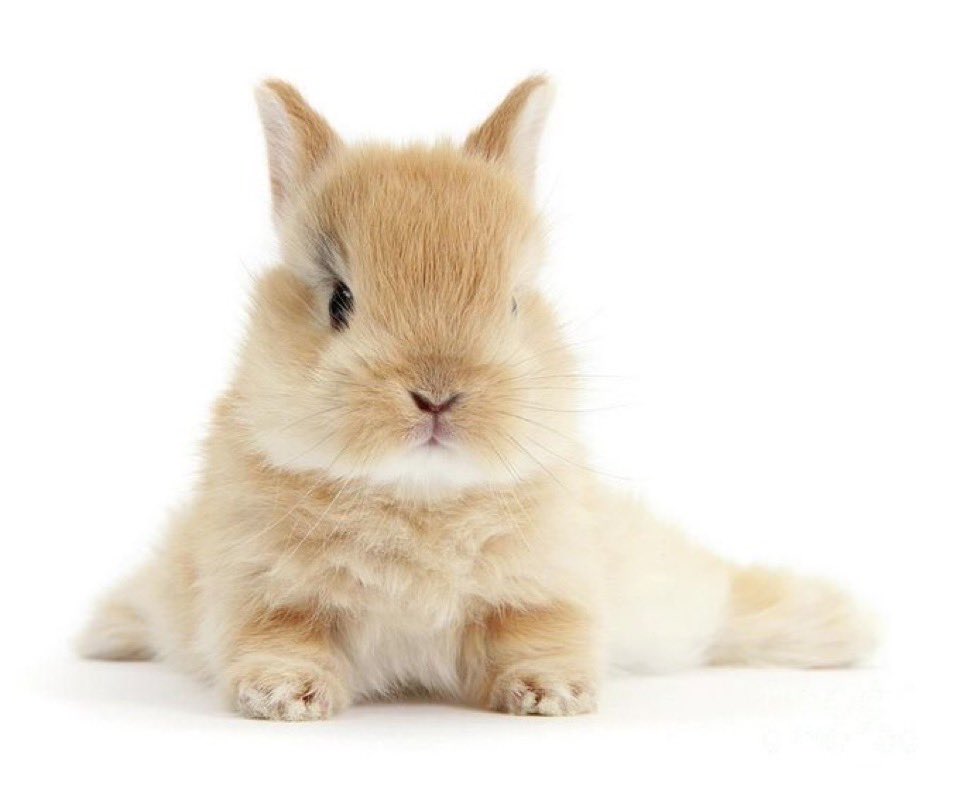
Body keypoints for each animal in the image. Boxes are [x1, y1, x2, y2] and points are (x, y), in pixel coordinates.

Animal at [78, 76, 876, 720]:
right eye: (339, 301)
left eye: (514, 303)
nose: (437, 394)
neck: (418, 499)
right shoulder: (261, 591)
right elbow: (281, 638)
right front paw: (283, 698)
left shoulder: (548, 587)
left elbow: (539, 635)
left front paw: (553, 696)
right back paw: (101, 634)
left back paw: (846, 630)